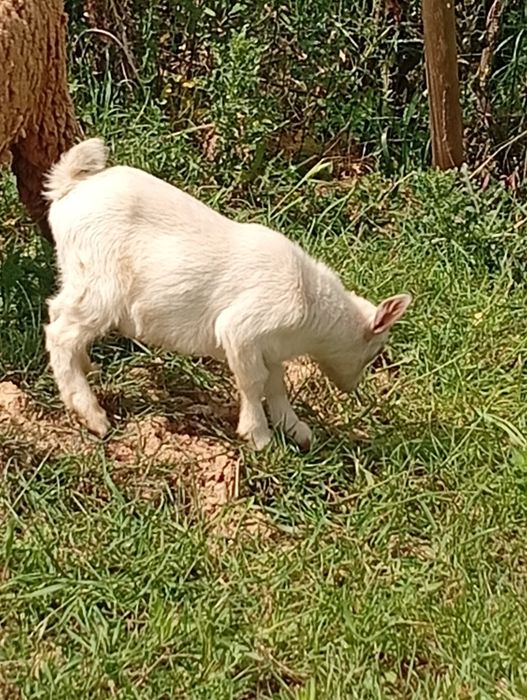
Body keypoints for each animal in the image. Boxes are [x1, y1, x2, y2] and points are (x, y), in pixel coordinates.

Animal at [44, 138, 411, 450]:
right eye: (376, 352)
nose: (352, 388)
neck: (310, 301)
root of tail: (68, 189)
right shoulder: (242, 330)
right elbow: (253, 381)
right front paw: (259, 436)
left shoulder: (270, 347)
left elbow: (276, 384)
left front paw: (297, 430)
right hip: (101, 282)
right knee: (61, 334)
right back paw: (92, 415)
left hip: (77, 275)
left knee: (57, 312)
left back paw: (87, 368)